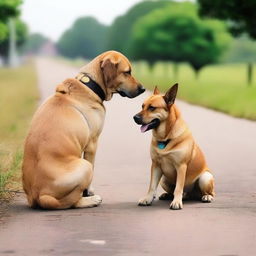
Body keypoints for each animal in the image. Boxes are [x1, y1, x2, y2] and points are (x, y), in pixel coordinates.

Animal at [22, 50, 145, 210]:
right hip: (84, 166)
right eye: (127, 72)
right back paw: (90, 200)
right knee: (73, 201)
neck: (90, 85)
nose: (143, 89)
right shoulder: (92, 144)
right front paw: (89, 192)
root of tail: (38, 196)